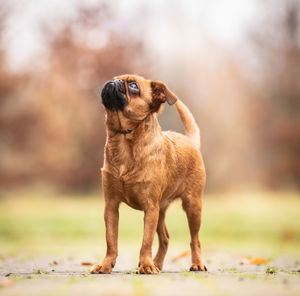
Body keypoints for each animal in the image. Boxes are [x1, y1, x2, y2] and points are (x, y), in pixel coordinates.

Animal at [89, 75, 206, 274]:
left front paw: (145, 264)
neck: (124, 139)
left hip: (192, 206)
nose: (114, 81)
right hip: (161, 210)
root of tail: (190, 141)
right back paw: (157, 263)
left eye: (133, 86)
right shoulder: (111, 206)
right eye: (115, 78)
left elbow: (146, 241)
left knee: (194, 239)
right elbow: (111, 241)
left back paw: (195, 263)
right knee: (165, 237)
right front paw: (105, 265)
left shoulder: (150, 208)